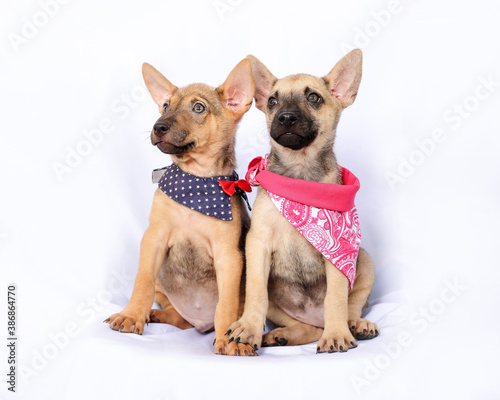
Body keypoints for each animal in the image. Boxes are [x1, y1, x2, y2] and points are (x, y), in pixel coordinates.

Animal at [105, 60, 254, 356]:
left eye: (198, 108)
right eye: (165, 106)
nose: (158, 126)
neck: (195, 184)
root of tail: (199, 322)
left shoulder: (229, 256)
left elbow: (227, 303)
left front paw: (228, 339)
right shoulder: (154, 238)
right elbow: (141, 281)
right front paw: (131, 316)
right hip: (163, 285)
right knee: (176, 316)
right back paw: (153, 314)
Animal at [228, 49, 378, 354]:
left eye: (314, 98)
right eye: (272, 101)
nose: (285, 118)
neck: (299, 176)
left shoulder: (336, 254)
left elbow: (336, 299)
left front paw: (336, 335)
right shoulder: (258, 245)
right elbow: (256, 294)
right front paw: (248, 328)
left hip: (364, 261)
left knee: (350, 309)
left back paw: (354, 326)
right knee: (306, 328)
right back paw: (280, 335)